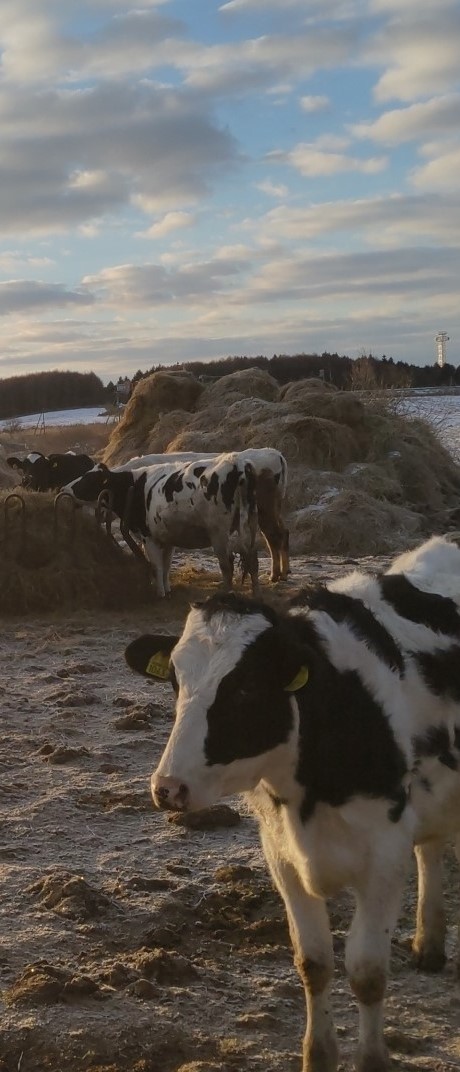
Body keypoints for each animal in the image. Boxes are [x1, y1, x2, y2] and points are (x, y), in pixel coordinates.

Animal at [63, 454, 259, 597]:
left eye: (88, 479)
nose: (64, 489)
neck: (134, 486)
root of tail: (235, 461)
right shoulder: (168, 538)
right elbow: (165, 566)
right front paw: (167, 589)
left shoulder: (149, 537)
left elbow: (156, 565)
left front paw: (159, 593)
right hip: (250, 525)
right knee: (253, 562)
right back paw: (256, 595)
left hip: (218, 532)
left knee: (227, 565)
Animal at [111, 447, 289, 583]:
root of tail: (274, 453)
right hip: (271, 509)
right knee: (281, 533)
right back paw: (282, 573)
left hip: (265, 510)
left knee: (273, 536)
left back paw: (275, 575)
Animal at [124, 534, 460, 1072]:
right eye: (175, 681)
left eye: (244, 688)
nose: (168, 788)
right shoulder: (281, 853)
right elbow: (313, 962)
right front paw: (317, 1055)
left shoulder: (384, 856)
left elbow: (366, 971)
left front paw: (372, 1059)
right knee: (431, 847)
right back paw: (429, 942)